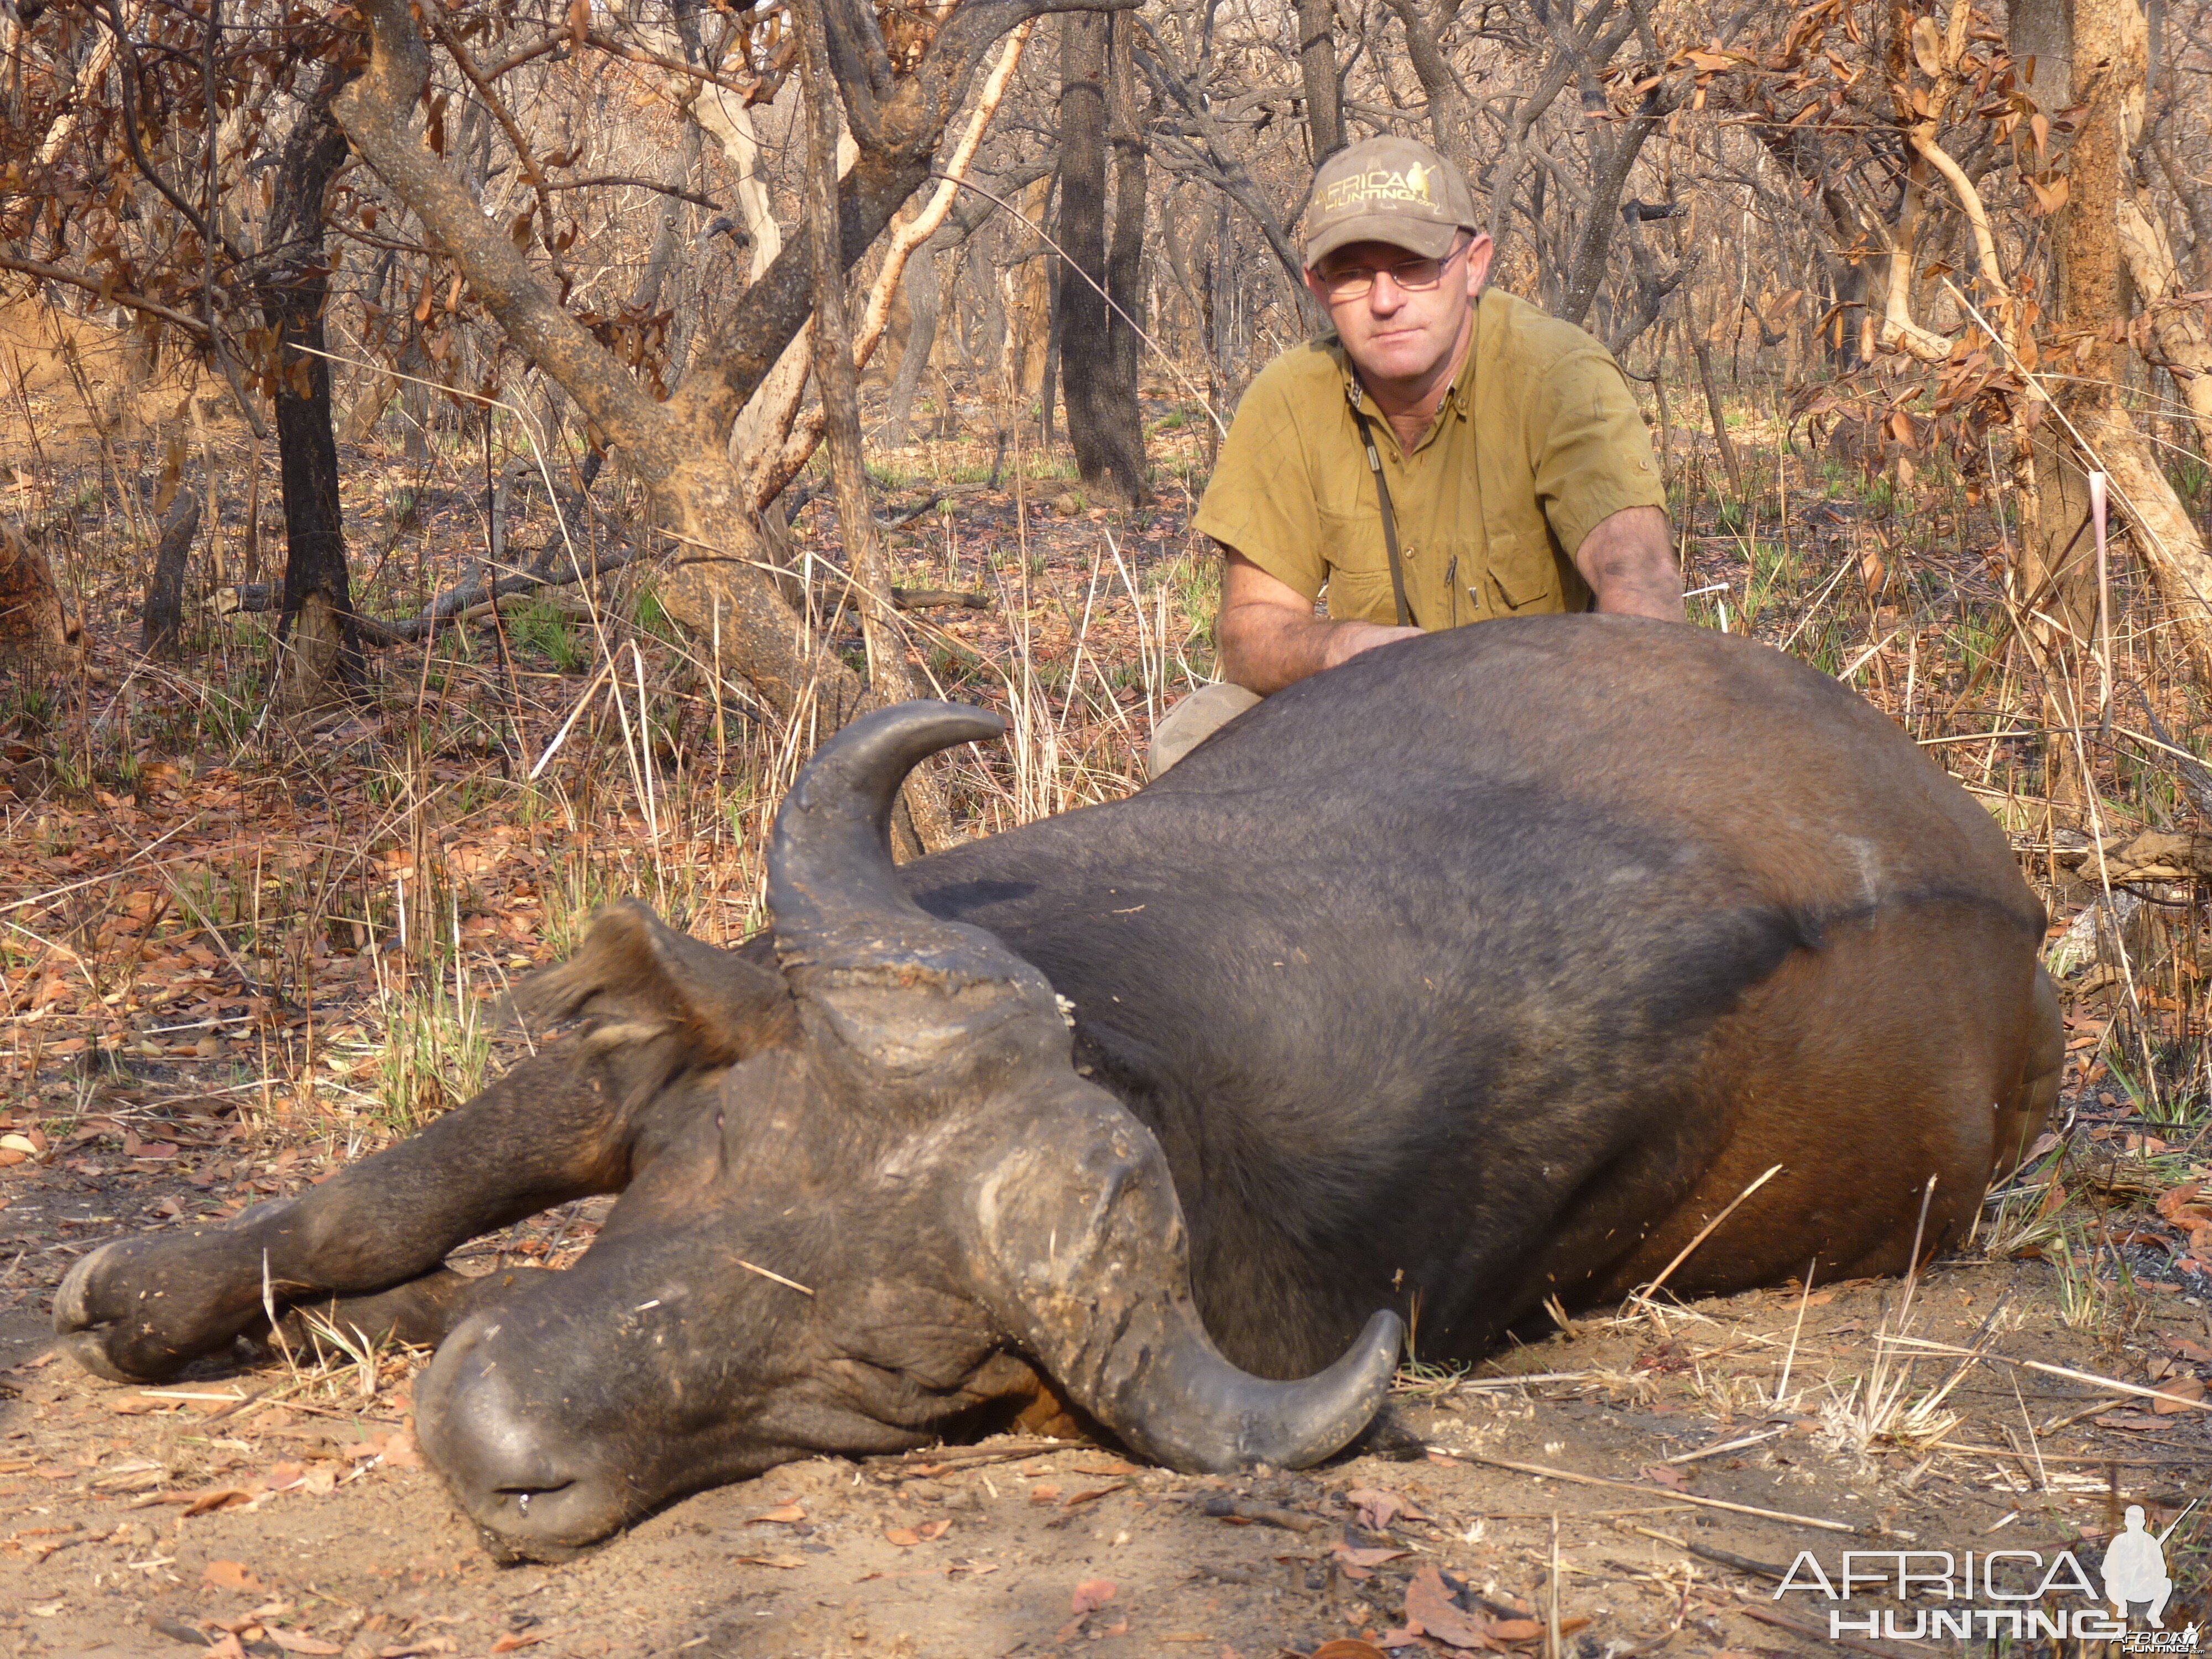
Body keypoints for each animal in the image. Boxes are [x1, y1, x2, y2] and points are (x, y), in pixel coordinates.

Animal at [52, 619, 2053, 1557]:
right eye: (711, 1167)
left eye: (870, 1369)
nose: (488, 1441)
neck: (1172, 1044)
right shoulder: (634, 1065)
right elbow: (392, 1188)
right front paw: (141, 1295)